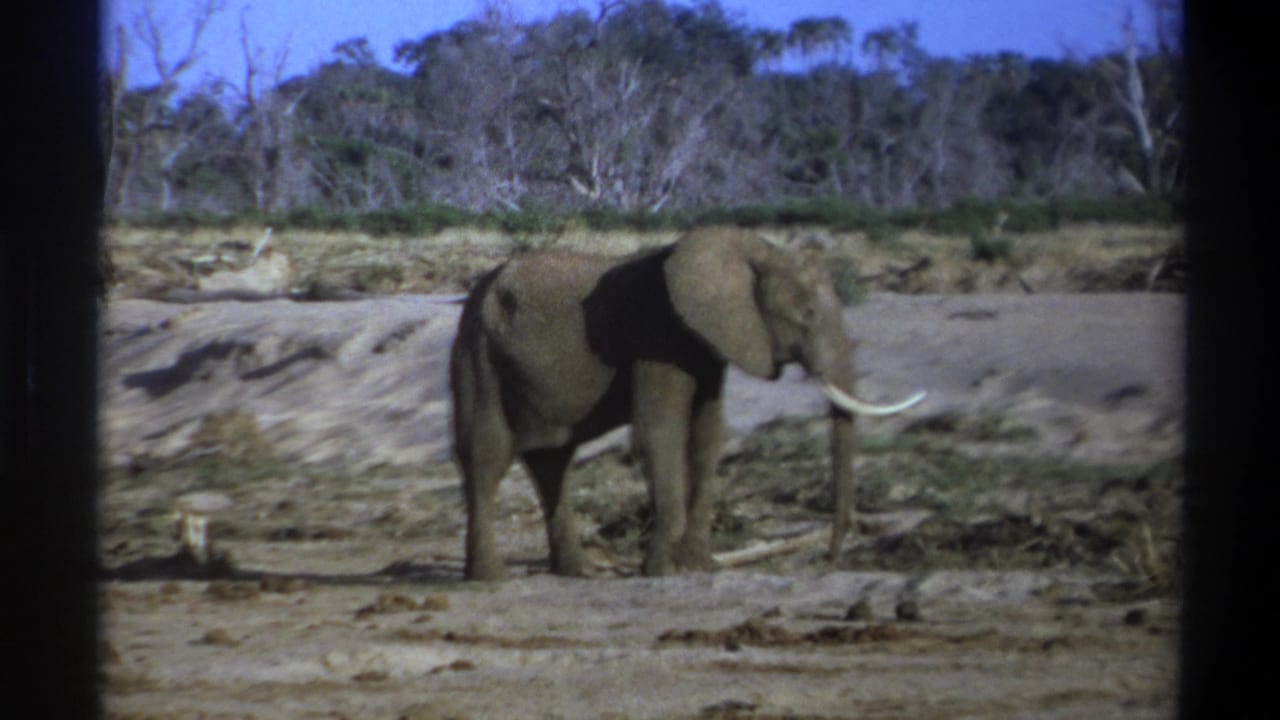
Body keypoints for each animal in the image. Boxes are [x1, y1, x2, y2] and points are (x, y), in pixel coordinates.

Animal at [449, 227, 924, 580]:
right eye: (806, 315)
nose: (829, 558)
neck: (755, 251)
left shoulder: (708, 344)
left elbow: (707, 433)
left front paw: (700, 566)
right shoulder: (659, 338)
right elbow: (660, 432)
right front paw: (661, 571)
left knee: (552, 463)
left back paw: (577, 572)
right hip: (480, 354)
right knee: (487, 456)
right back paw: (491, 578)